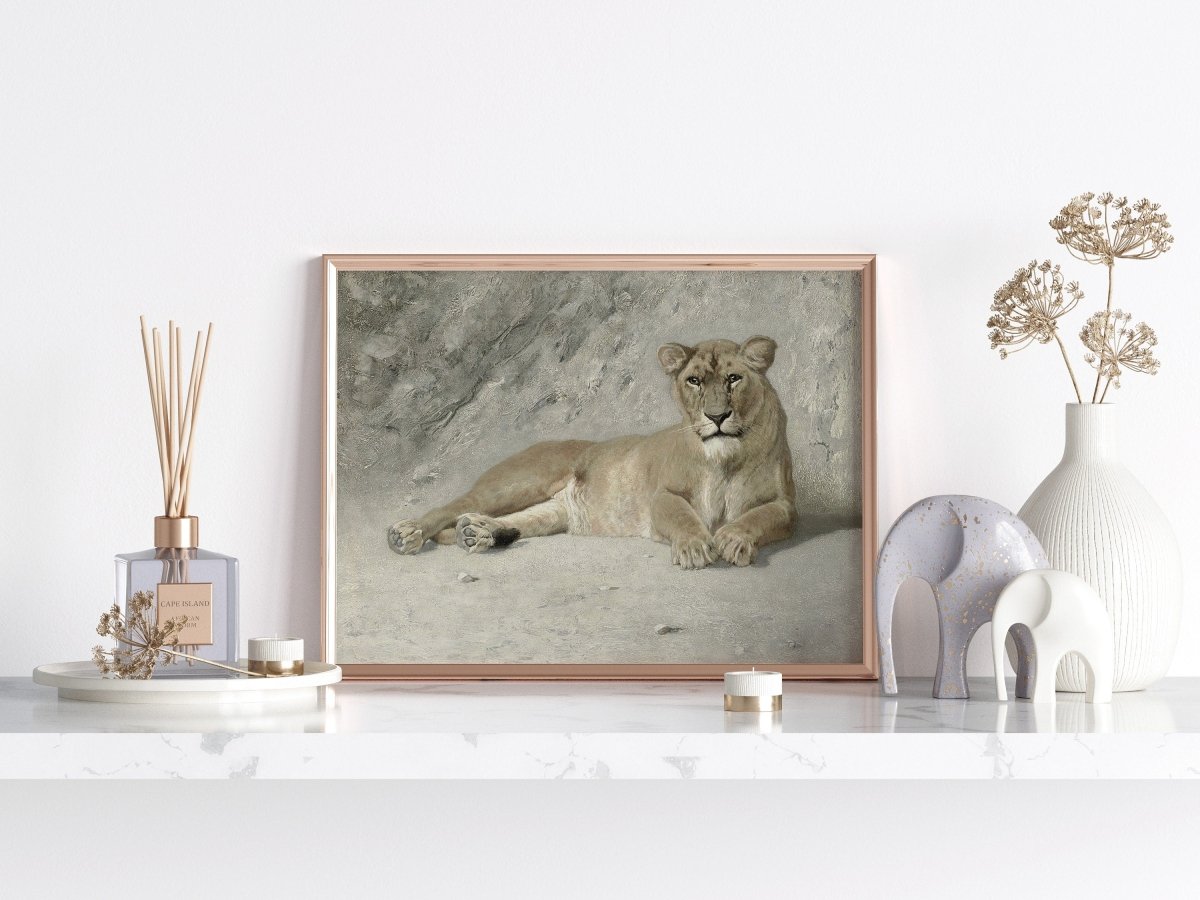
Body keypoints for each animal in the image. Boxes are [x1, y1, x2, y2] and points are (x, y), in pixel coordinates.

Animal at [387, 336, 796, 569]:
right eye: (694, 381)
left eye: (734, 379)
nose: (716, 416)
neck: (726, 458)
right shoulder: (662, 495)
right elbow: (682, 515)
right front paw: (696, 547)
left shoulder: (786, 505)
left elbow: (759, 516)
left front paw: (733, 538)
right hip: (515, 483)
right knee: (454, 506)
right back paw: (407, 534)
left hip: (554, 512)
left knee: (520, 520)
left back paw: (478, 533)